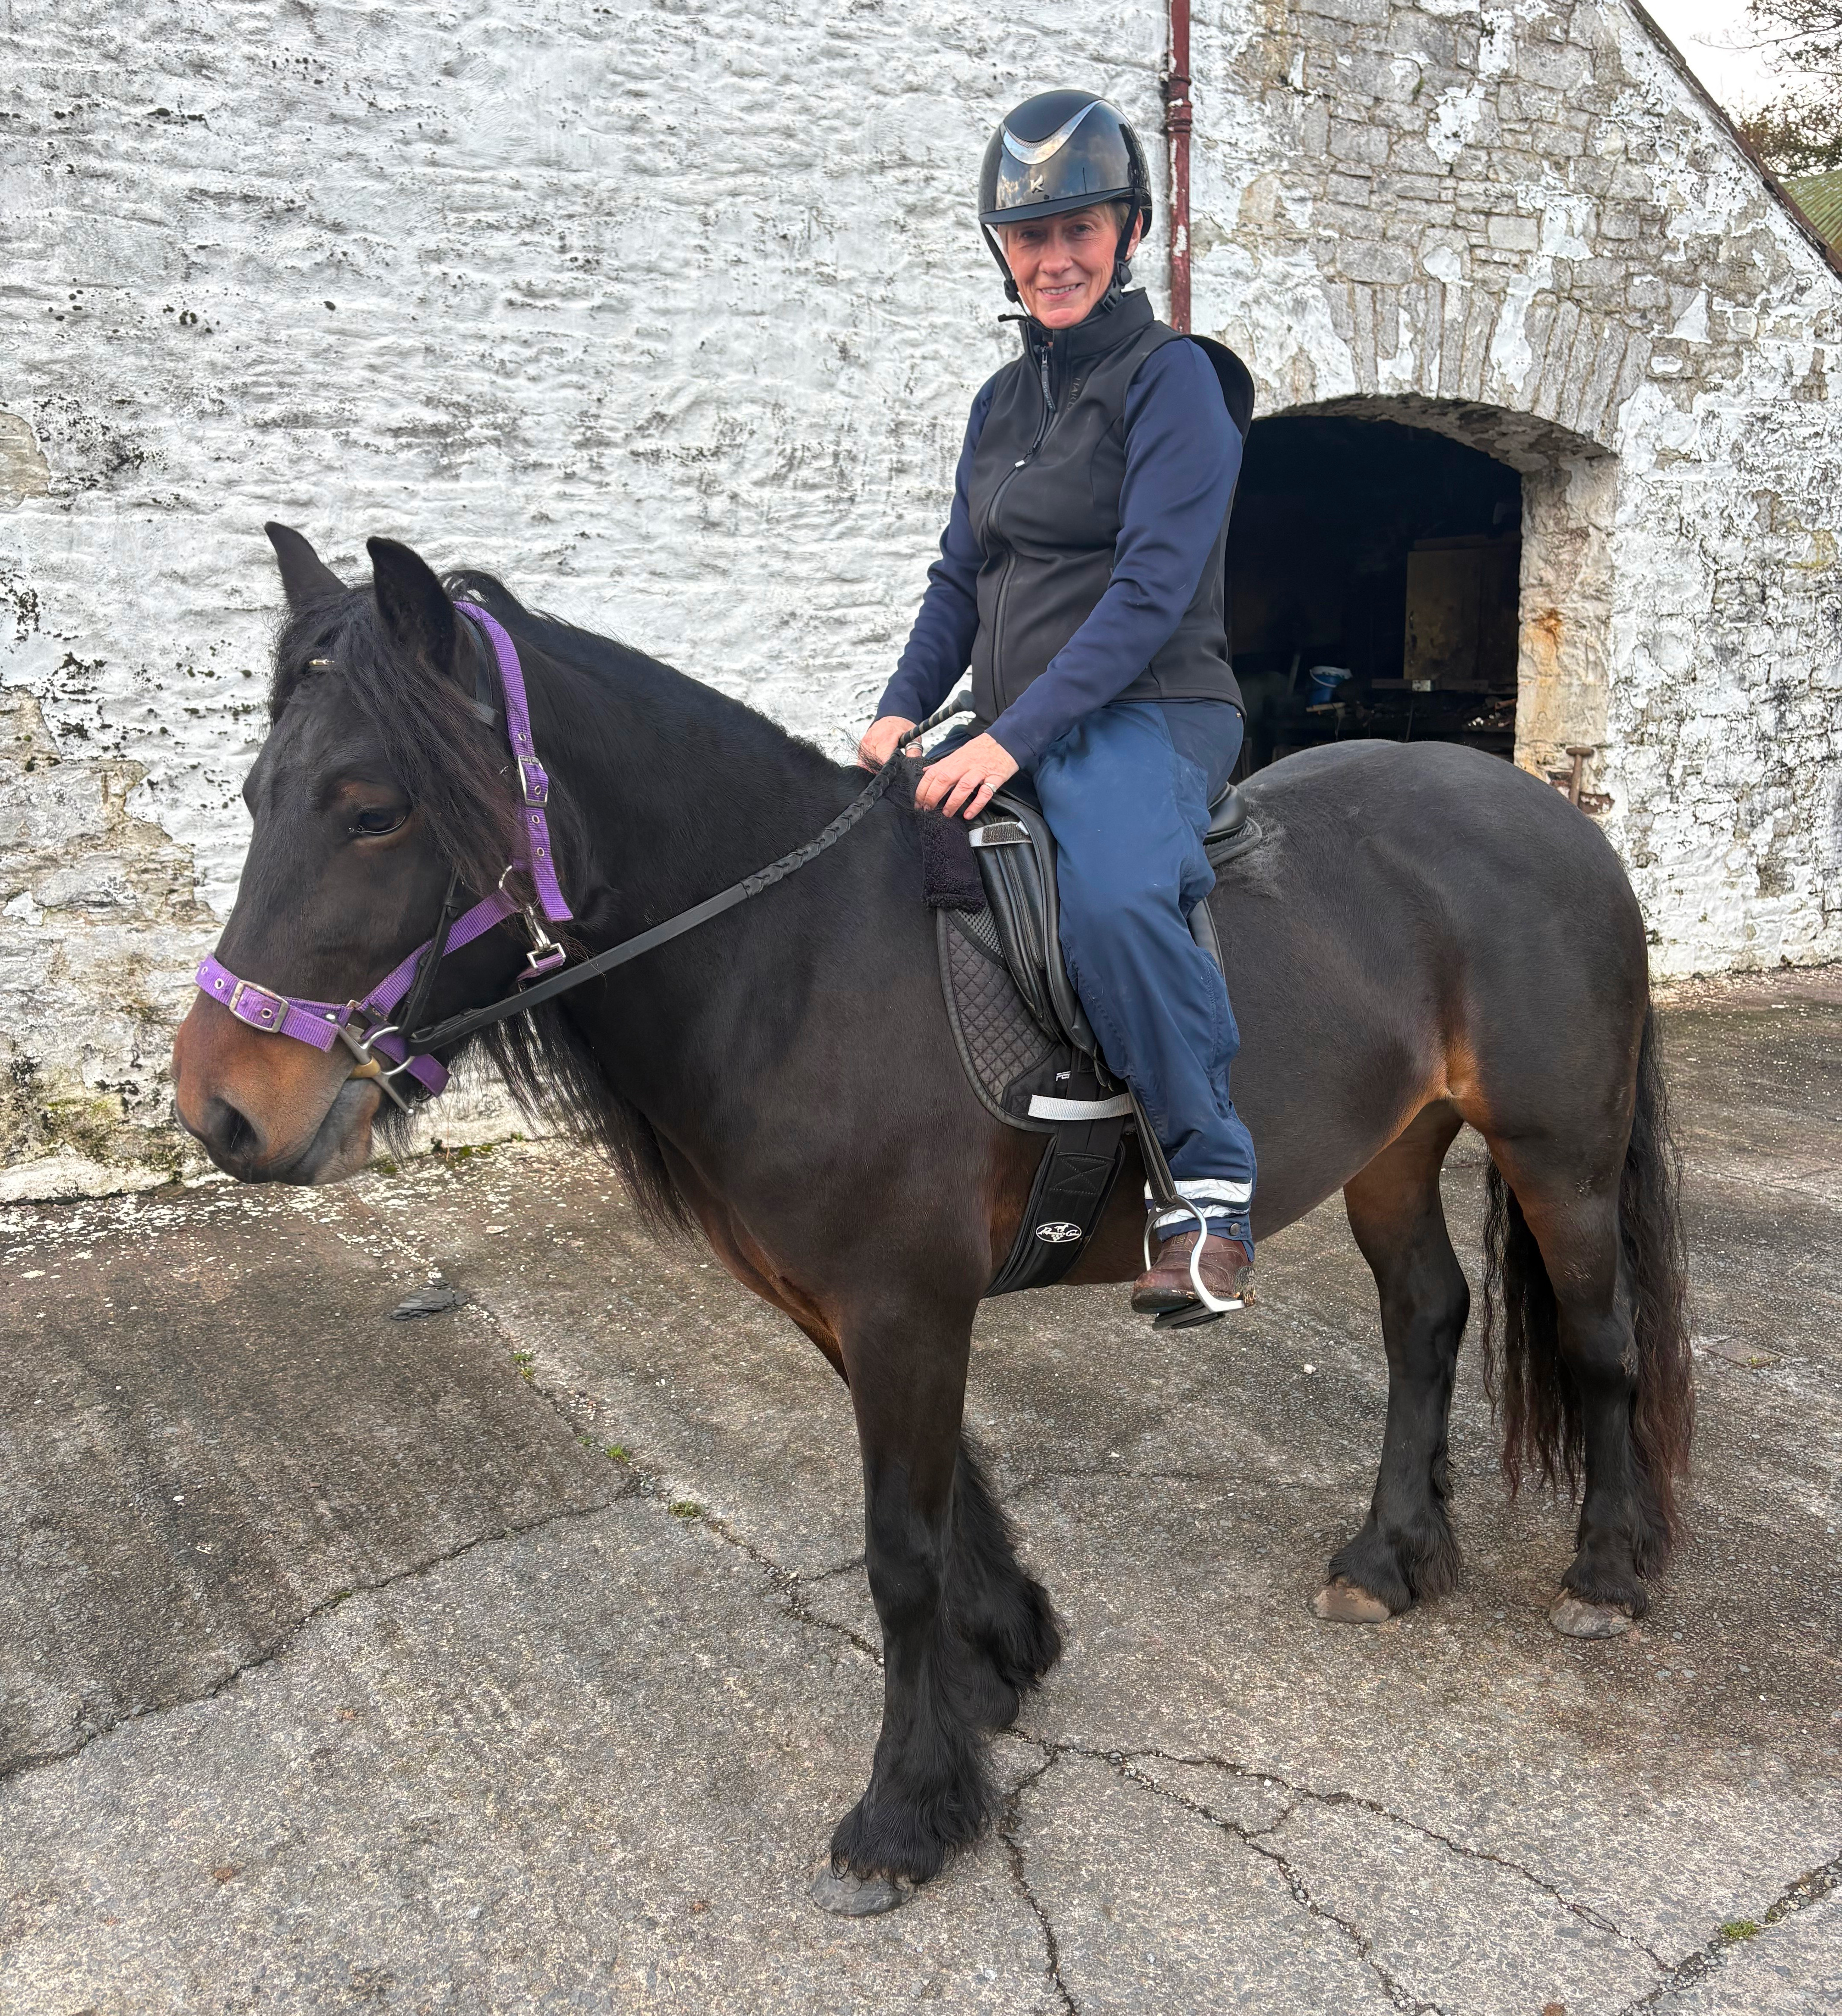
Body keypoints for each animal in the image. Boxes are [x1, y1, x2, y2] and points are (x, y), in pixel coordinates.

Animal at [172, 527, 1693, 1910]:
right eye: (252, 793)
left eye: (372, 810)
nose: (219, 1109)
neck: (797, 961)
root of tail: (1547, 809)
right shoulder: (849, 1306)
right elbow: (952, 1491)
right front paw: (999, 1659)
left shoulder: (903, 1301)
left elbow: (898, 1548)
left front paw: (907, 1803)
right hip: (1391, 1146)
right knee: (1426, 1316)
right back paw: (1393, 1552)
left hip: (1559, 1150)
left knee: (1602, 1340)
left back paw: (1608, 1571)